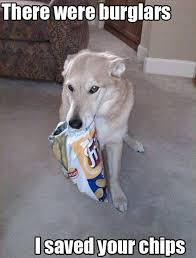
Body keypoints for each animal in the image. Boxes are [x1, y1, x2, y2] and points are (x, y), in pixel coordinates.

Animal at [59, 50, 144, 212]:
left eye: (94, 89)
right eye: (70, 87)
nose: (74, 123)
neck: (98, 118)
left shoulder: (115, 145)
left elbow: (115, 174)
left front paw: (118, 196)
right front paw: (67, 168)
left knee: (125, 133)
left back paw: (135, 143)